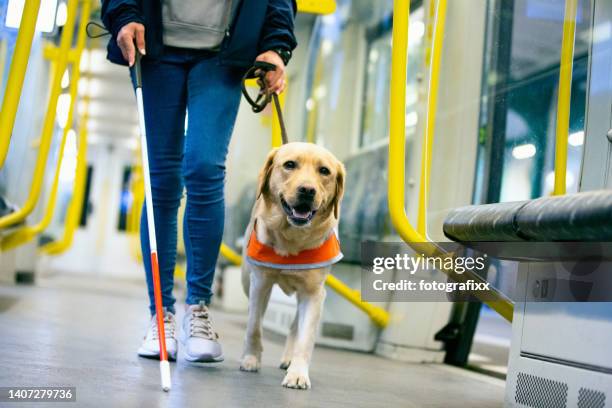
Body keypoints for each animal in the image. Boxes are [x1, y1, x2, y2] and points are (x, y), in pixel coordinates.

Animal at [239, 143, 344, 388]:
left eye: (324, 171)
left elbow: (305, 339)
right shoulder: (260, 284)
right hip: (247, 281)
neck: (291, 238)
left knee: (296, 324)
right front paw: (250, 359)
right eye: (289, 165)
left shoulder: (314, 294)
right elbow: (254, 326)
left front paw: (298, 373)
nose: (307, 190)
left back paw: (289, 359)